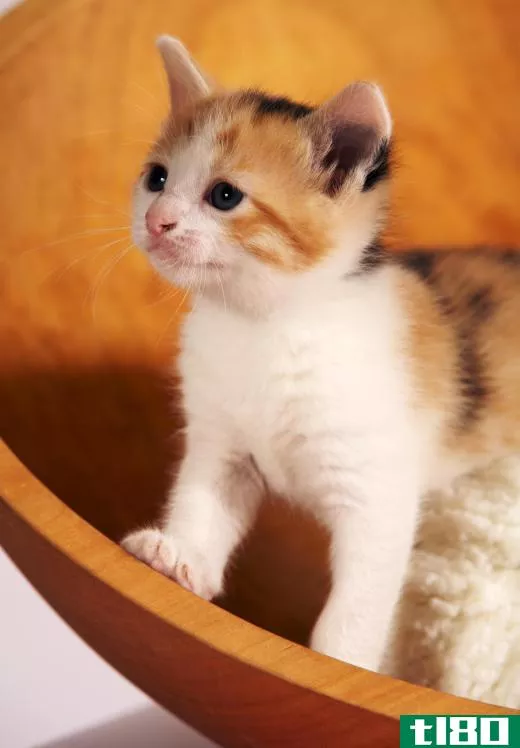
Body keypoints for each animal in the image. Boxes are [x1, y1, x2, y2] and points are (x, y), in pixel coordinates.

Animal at [121, 35, 520, 672]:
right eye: (156, 178)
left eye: (224, 196)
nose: (157, 221)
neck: (263, 327)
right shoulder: (223, 445)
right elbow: (204, 502)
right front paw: (182, 558)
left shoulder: (376, 493)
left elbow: (355, 609)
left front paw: (344, 663)